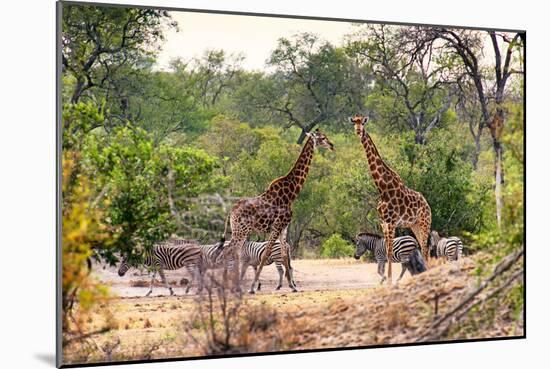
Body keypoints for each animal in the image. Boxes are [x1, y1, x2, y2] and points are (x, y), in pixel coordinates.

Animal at [224, 129, 336, 294]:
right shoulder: (276, 226)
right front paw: (252, 287)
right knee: (228, 253)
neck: (291, 193)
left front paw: (293, 286)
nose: (332, 145)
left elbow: (284, 256)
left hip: (239, 231)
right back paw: (229, 285)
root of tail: (231, 212)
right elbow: (265, 255)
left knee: (231, 253)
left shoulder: (284, 228)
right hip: (241, 231)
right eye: (322, 138)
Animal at [352, 113, 434, 284]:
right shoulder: (383, 222)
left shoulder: (391, 222)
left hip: (425, 222)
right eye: (353, 122)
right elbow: (387, 250)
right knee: (423, 247)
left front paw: (389, 280)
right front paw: (387, 279)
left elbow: (389, 251)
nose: (358, 131)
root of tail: (427, 204)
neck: (382, 188)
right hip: (414, 225)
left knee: (425, 247)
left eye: (363, 122)